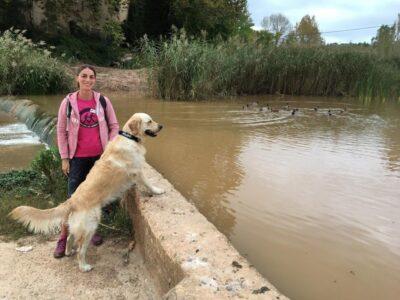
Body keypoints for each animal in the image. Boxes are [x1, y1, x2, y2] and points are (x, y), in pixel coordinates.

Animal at [10, 112, 165, 272]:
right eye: (149, 121)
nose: (161, 126)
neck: (130, 138)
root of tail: (71, 201)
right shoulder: (137, 171)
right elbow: (148, 183)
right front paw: (158, 190)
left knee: (70, 237)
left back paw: (68, 251)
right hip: (90, 225)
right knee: (81, 249)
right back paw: (84, 266)